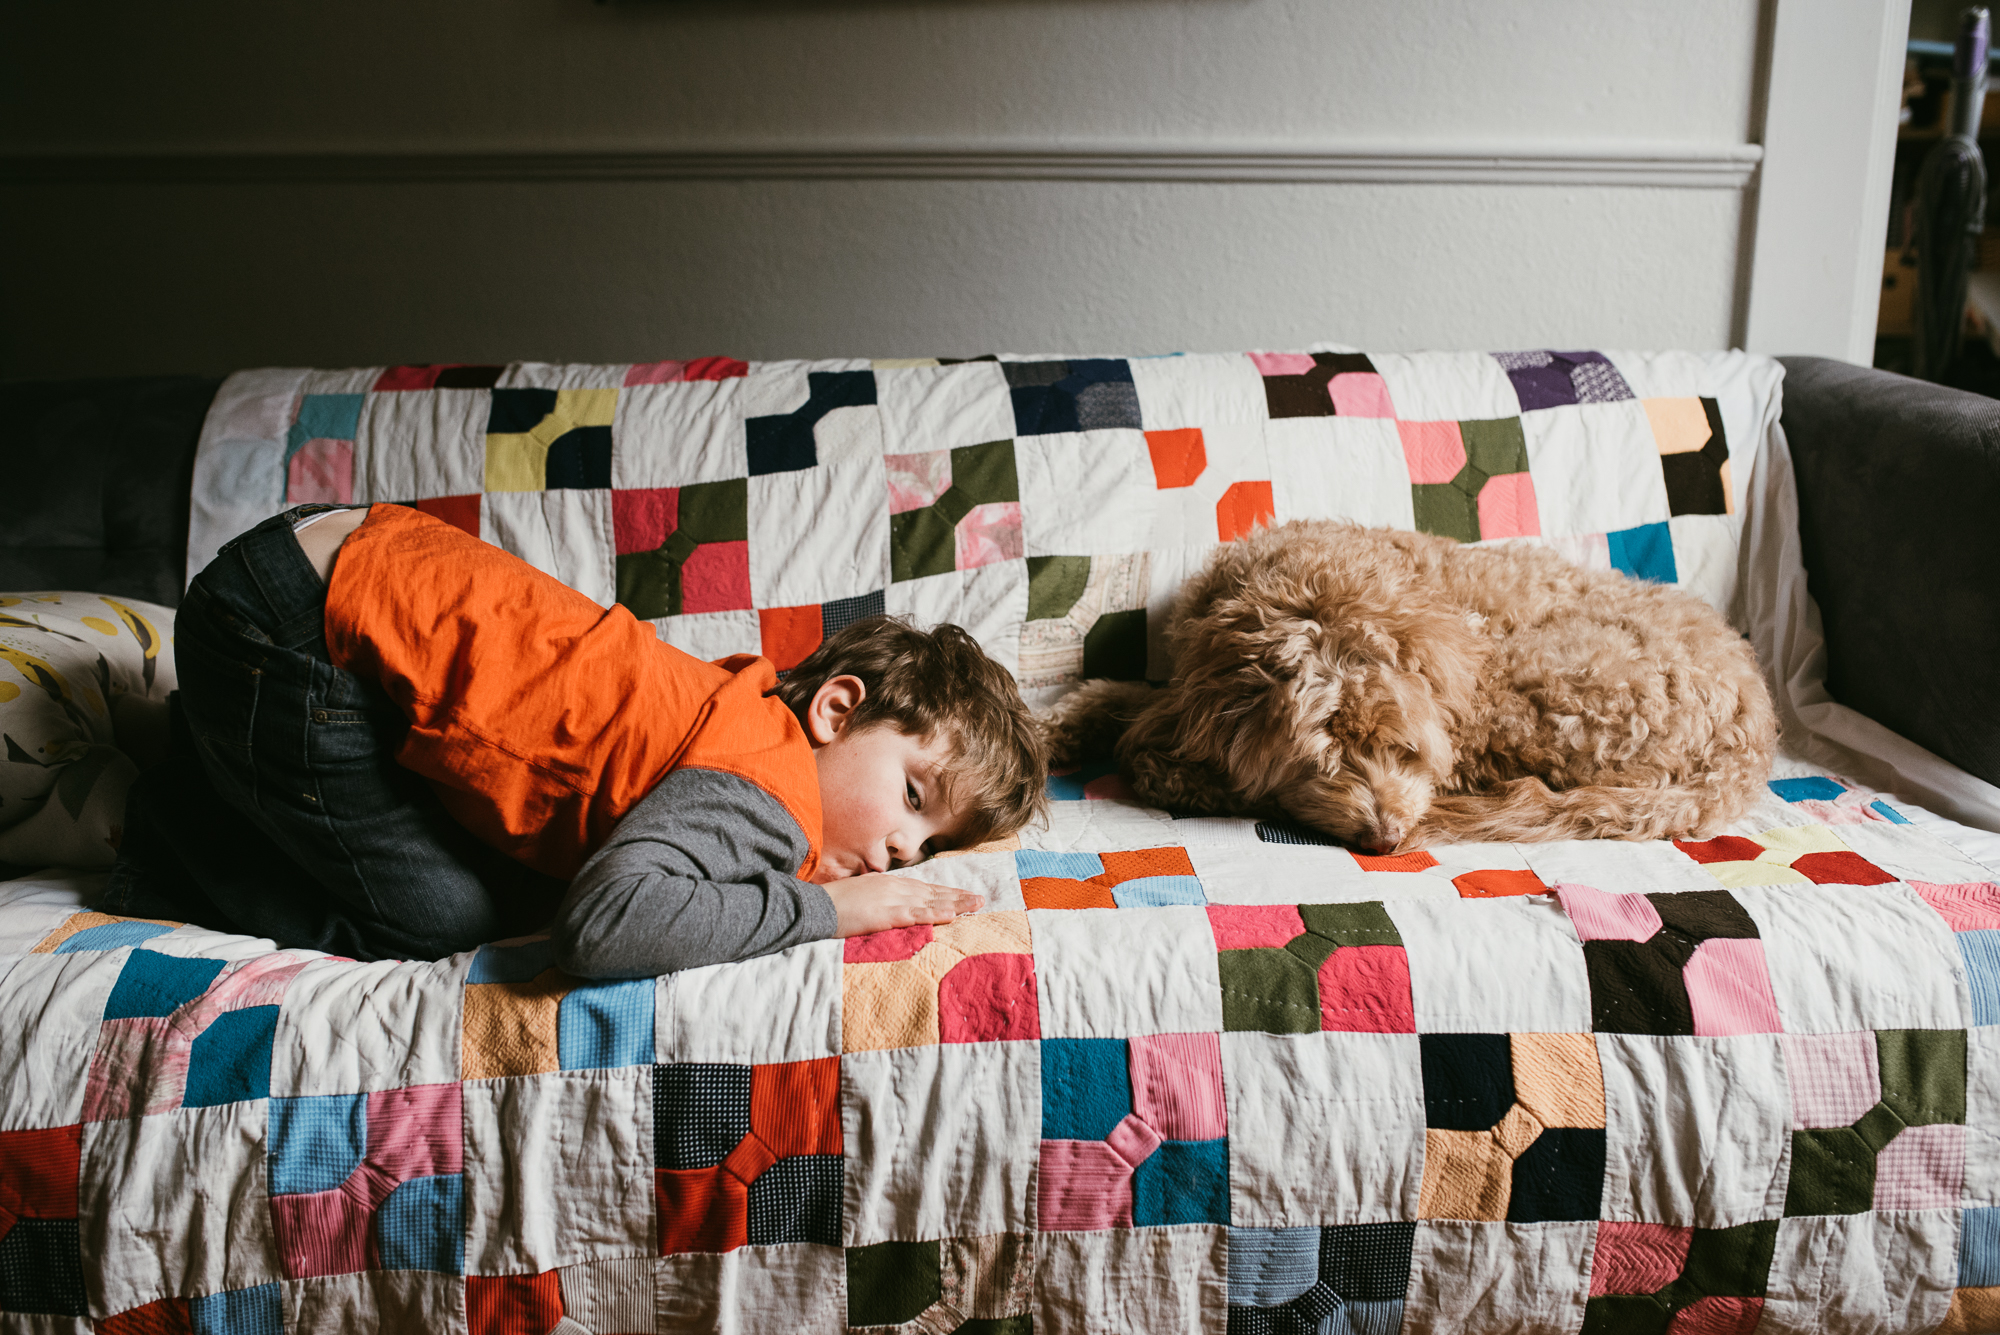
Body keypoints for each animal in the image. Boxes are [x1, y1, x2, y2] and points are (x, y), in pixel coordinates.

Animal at [1040, 515, 1776, 851]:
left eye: (1405, 750)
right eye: (1318, 762)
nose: (1387, 837)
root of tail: (1754, 734)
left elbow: (1149, 751)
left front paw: (1186, 777)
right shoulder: (1182, 684)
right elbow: (1119, 700)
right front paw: (1055, 730)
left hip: (1539, 689)